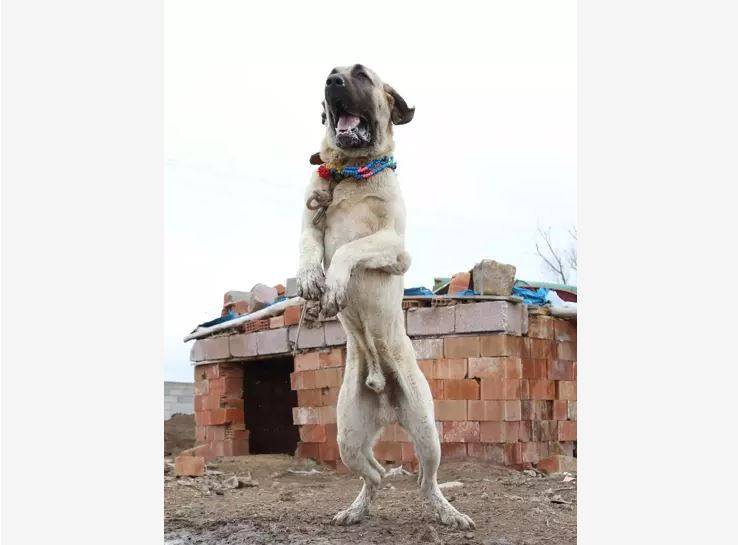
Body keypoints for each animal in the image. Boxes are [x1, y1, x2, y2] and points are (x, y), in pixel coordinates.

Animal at [294, 63, 474, 528]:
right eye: (331, 72)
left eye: (361, 74)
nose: (332, 82)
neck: (350, 171)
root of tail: (383, 391)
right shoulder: (309, 220)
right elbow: (308, 247)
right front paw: (311, 281)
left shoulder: (395, 249)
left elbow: (350, 250)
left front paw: (335, 285)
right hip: (348, 436)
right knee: (373, 474)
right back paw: (356, 509)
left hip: (427, 433)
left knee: (425, 480)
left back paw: (447, 513)